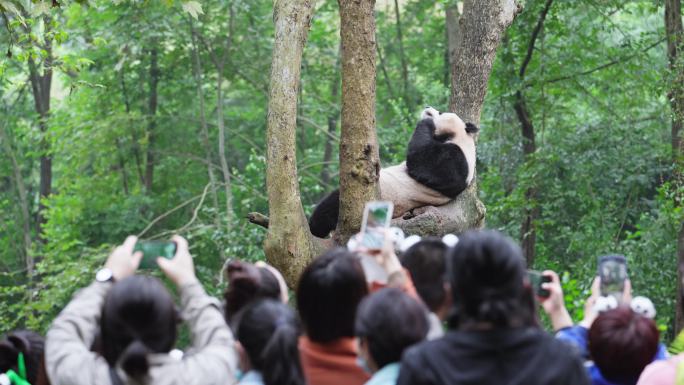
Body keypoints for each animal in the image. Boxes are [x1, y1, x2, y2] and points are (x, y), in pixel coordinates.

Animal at [308, 105, 478, 237]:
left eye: (441, 112)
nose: (427, 107)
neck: (461, 139)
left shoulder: (457, 159)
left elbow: (424, 163)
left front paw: (427, 121)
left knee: (330, 207)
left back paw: (315, 228)